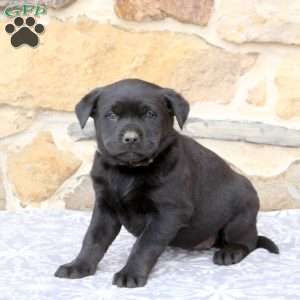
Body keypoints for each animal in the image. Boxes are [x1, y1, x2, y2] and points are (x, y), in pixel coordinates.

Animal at [55, 79, 278, 288]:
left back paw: (230, 252)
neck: (129, 170)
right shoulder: (106, 207)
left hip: (241, 215)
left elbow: (145, 245)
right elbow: (93, 239)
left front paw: (131, 273)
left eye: (150, 115)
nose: (130, 138)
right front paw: (78, 265)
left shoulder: (169, 212)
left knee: (247, 241)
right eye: (111, 115)